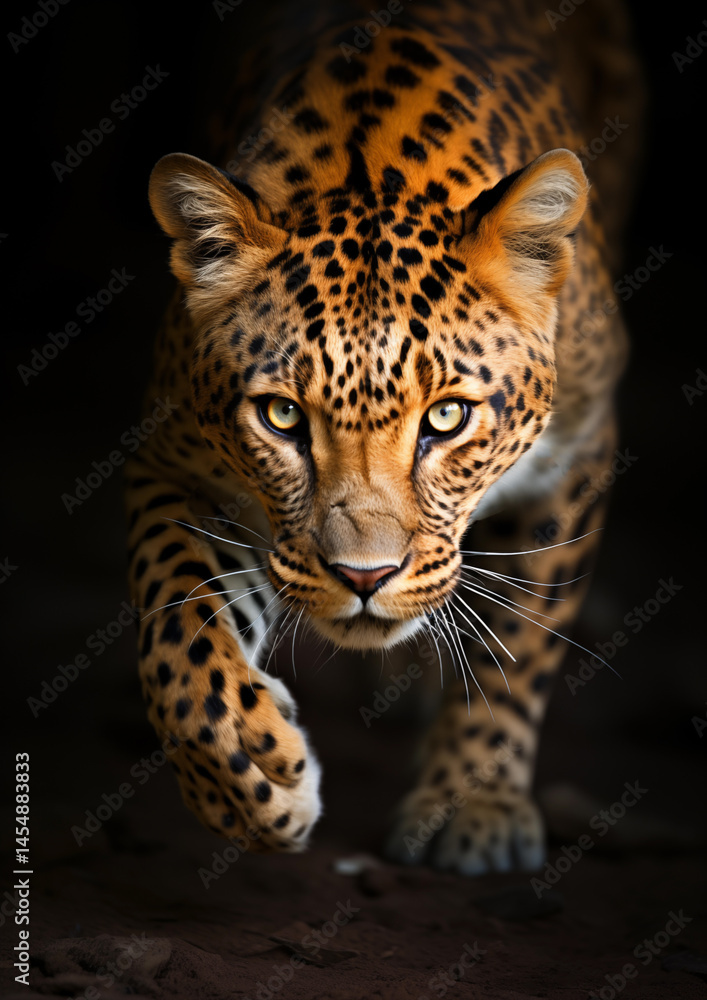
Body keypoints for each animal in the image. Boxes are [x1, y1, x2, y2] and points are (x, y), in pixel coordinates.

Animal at [125, 0, 642, 873]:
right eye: (282, 418)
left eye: (446, 418)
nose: (364, 578)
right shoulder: (170, 460)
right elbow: (178, 626)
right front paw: (252, 775)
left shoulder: (576, 454)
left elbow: (517, 644)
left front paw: (473, 804)